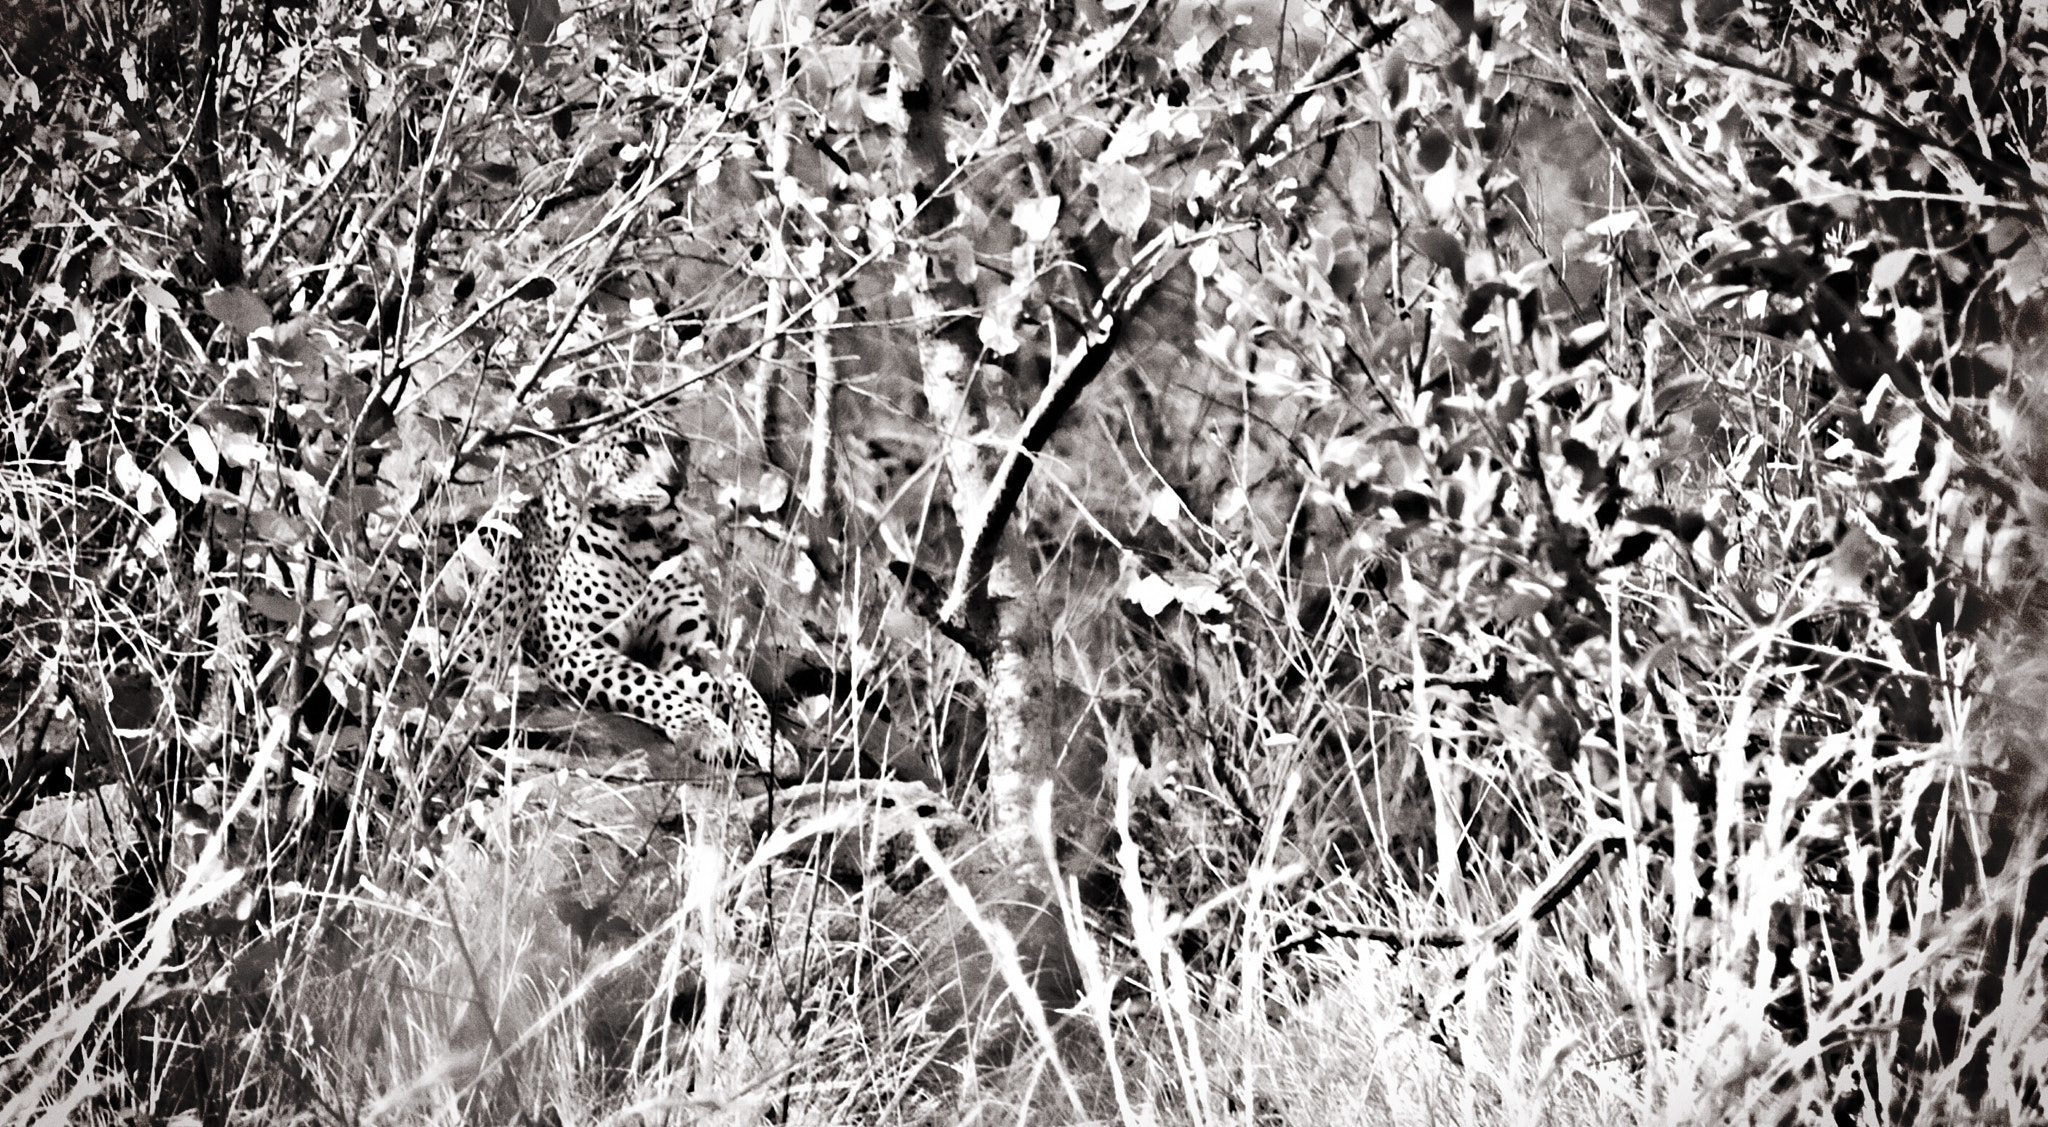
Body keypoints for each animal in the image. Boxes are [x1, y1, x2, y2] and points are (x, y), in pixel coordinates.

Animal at [462, 428, 798, 782]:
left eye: (680, 446)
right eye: (634, 447)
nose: (675, 485)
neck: (643, 541)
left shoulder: (685, 649)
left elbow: (741, 690)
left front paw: (773, 745)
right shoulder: (578, 650)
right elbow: (651, 685)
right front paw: (705, 729)